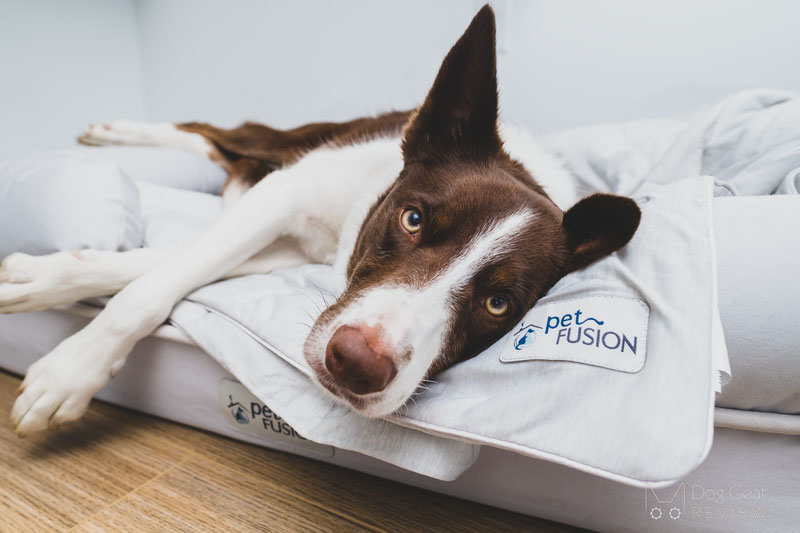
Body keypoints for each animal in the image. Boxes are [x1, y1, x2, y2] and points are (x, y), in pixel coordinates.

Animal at [0, 5, 636, 436]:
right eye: (412, 219)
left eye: (498, 304)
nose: (356, 364)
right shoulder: (286, 195)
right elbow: (151, 287)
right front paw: (68, 370)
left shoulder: (287, 244)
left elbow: (163, 264)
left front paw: (48, 278)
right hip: (290, 144)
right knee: (221, 132)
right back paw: (119, 132)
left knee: (224, 156)